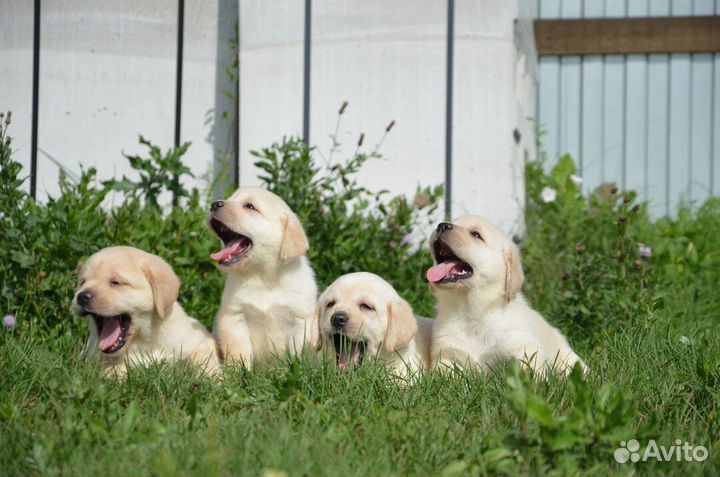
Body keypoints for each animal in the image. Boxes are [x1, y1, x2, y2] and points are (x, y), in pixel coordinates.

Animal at [73, 245, 221, 376]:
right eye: (82, 282)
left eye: (115, 282)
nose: (81, 297)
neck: (144, 341)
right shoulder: (97, 356)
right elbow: (113, 368)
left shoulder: (192, 341)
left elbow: (201, 358)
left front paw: (215, 379)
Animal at [210, 188, 320, 366]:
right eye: (230, 198)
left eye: (250, 206)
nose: (213, 204)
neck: (262, 276)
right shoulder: (234, 317)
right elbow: (238, 352)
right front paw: (238, 372)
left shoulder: (300, 320)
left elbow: (297, 352)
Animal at [428, 216, 584, 376]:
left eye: (476, 235)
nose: (441, 226)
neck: (471, 311)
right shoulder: (446, 354)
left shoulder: (525, 349)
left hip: (567, 357)